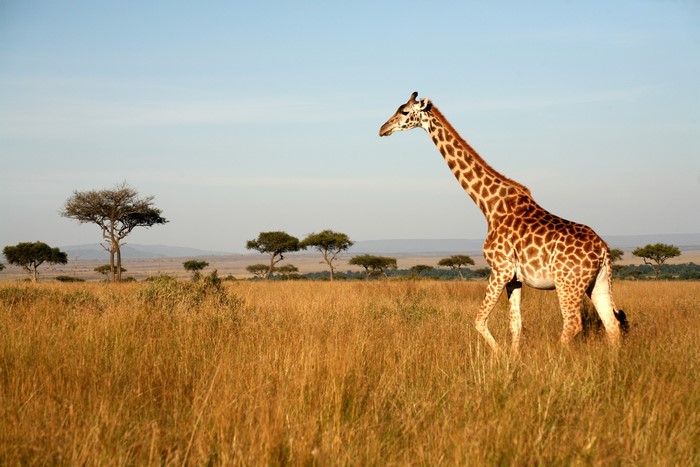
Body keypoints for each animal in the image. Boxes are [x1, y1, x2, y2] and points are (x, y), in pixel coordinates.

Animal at [379, 92, 628, 353]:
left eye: (405, 111)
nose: (382, 128)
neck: (490, 206)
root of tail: (603, 250)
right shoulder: (515, 278)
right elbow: (515, 324)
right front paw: (514, 357)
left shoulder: (500, 269)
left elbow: (479, 320)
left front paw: (499, 354)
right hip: (598, 282)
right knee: (611, 323)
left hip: (567, 283)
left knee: (573, 323)